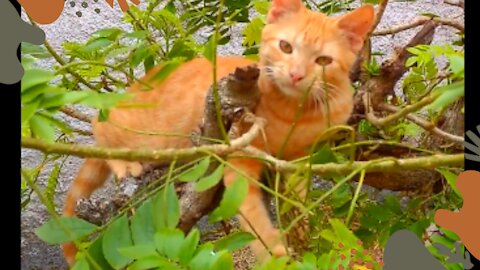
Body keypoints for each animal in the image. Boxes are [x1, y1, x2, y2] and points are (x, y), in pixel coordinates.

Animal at [62, 0, 376, 264]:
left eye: (323, 61)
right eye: (286, 46)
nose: (296, 74)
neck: (295, 112)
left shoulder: (301, 162)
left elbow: (296, 201)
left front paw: (301, 231)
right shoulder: (240, 155)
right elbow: (255, 220)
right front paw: (275, 253)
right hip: (133, 129)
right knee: (100, 129)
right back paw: (124, 162)